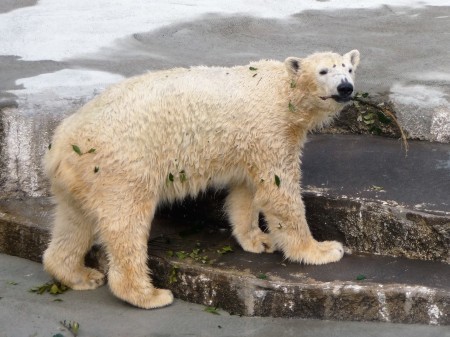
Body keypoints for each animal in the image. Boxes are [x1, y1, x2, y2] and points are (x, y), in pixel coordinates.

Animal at [42, 49, 358, 308]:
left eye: (349, 68)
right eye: (324, 71)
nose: (346, 87)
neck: (281, 92)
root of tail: (60, 145)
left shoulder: (249, 142)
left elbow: (246, 192)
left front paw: (259, 240)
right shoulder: (270, 130)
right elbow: (279, 191)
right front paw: (323, 249)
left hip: (83, 175)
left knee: (74, 221)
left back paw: (79, 274)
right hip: (121, 166)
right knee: (126, 223)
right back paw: (149, 295)